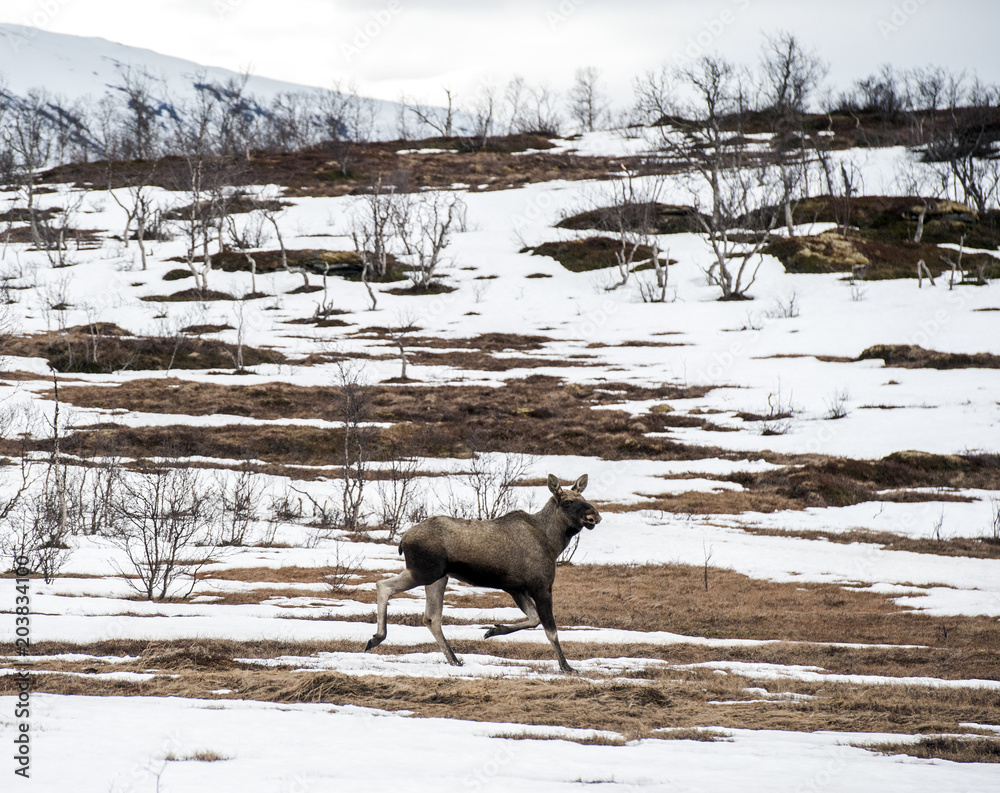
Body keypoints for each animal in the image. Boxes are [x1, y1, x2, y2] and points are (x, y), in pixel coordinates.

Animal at [365, 474, 601, 673]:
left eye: (584, 497)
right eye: (567, 502)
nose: (595, 516)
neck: (552, 543)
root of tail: (403, 540)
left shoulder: (516, 588)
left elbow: (533, 619)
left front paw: (493, 630)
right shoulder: (540, 586)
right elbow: (550, 630)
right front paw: (566, 667)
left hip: (438, 577)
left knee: (431, 617)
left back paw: (454, 659)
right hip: (424, 572)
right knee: (383, 585)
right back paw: (376, 638)